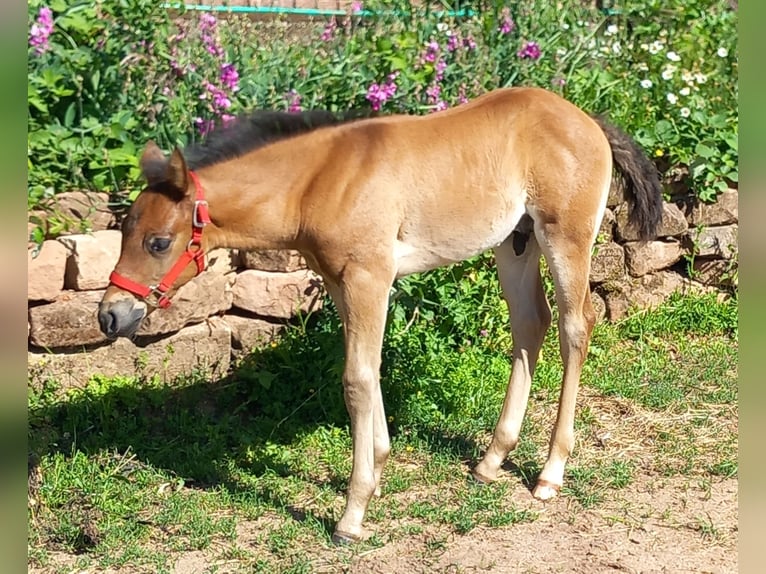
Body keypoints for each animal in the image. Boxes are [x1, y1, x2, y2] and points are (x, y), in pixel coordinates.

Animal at [98, 86, 662, 544]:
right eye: (124, 231)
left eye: (158, 241)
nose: (110, 316)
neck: (321, 179)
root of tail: (589, 120)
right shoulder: (341, 282)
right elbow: (367, 373)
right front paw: (381, 460)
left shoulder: (369, 277)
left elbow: (355, 379)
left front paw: (353, 512)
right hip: (514, 243)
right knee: (531, 323)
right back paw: (491, 460)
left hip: (566, 238)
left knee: (575, 327)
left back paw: (550, 472)